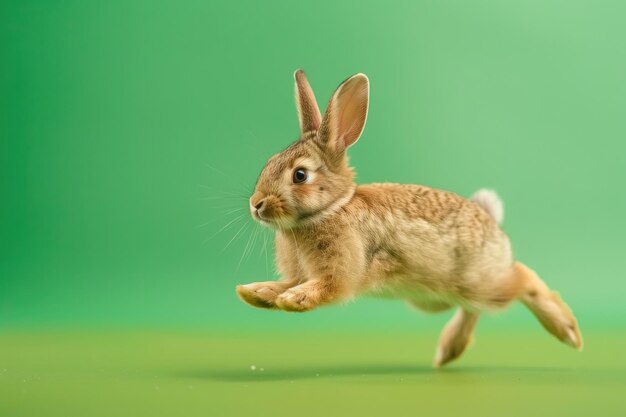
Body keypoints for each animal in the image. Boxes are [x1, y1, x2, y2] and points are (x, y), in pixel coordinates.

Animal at [234, 70, 580, 366]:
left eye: (300, 175)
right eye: (269, 162)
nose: (256, 204)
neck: (331, 208)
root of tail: (492, 221)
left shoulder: (340, 273)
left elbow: (323, 288)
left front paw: (294, 299)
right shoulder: (300, 272)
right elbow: (284, 283)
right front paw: (257, 293)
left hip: (481, 283)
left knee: (524, 278)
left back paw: (568, 332)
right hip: (435, 299)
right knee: (473, 308)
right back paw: (448, 351)